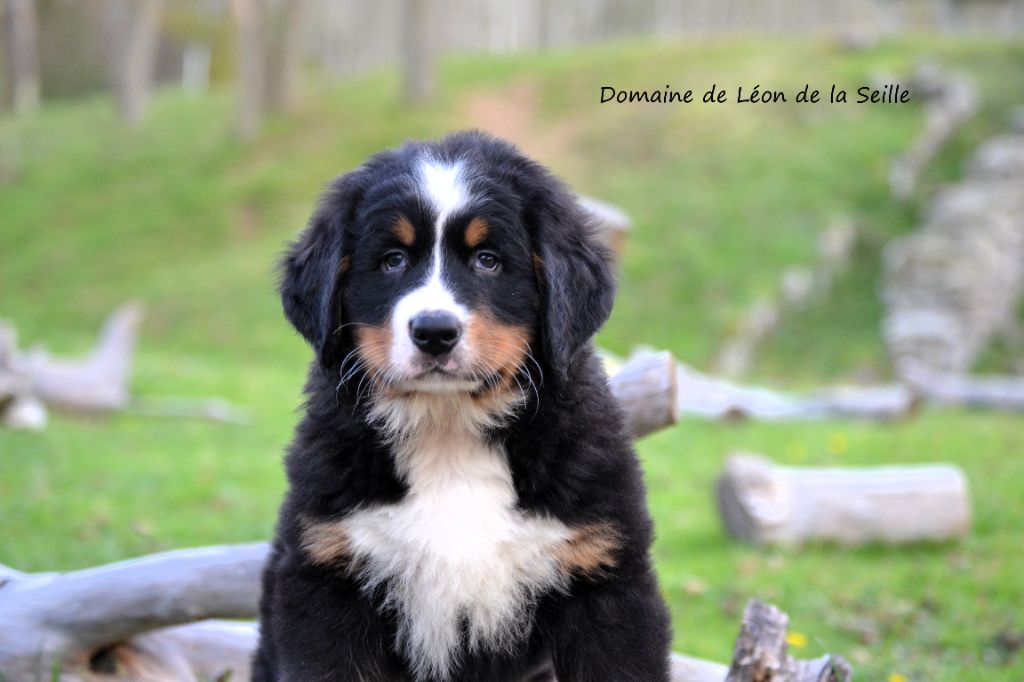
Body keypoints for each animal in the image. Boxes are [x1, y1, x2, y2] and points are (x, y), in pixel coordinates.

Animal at [253, 131, 671, 682]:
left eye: (487, 259)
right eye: (392, 260)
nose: (434, 331)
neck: (449, 428)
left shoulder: (603, 580)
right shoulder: (327, 579)